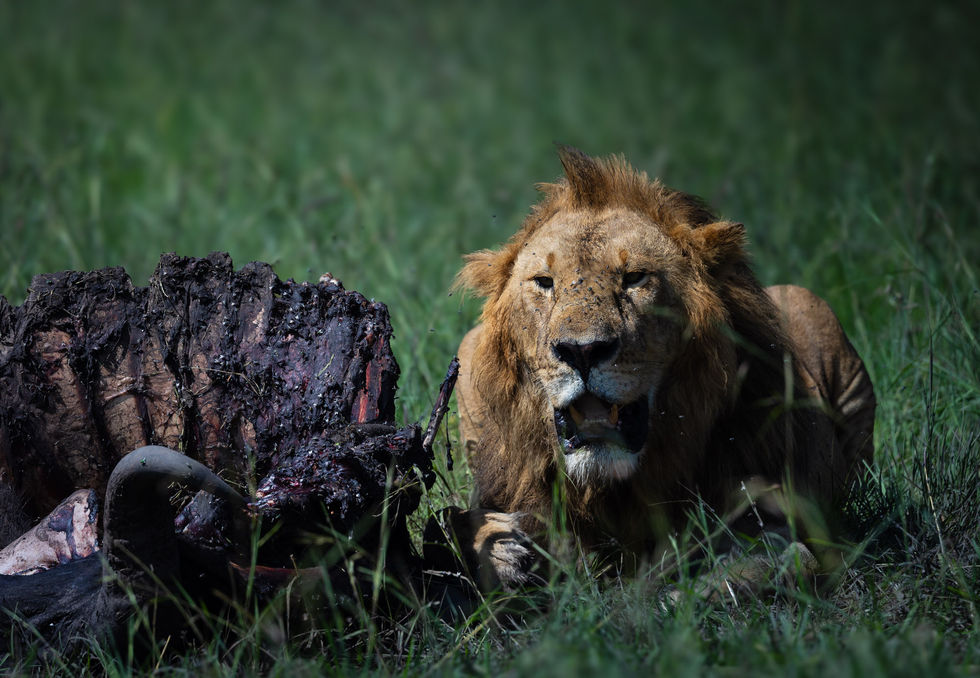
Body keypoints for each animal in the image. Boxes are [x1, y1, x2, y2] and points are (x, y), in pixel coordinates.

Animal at [435, 146, 875, 596]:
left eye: (635, 278)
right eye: (544, 282)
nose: (582, 351)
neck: (609, 488)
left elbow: (793, 558)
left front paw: (686, 590)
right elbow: (459, 523)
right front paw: (504, 548)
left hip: (809, 303)